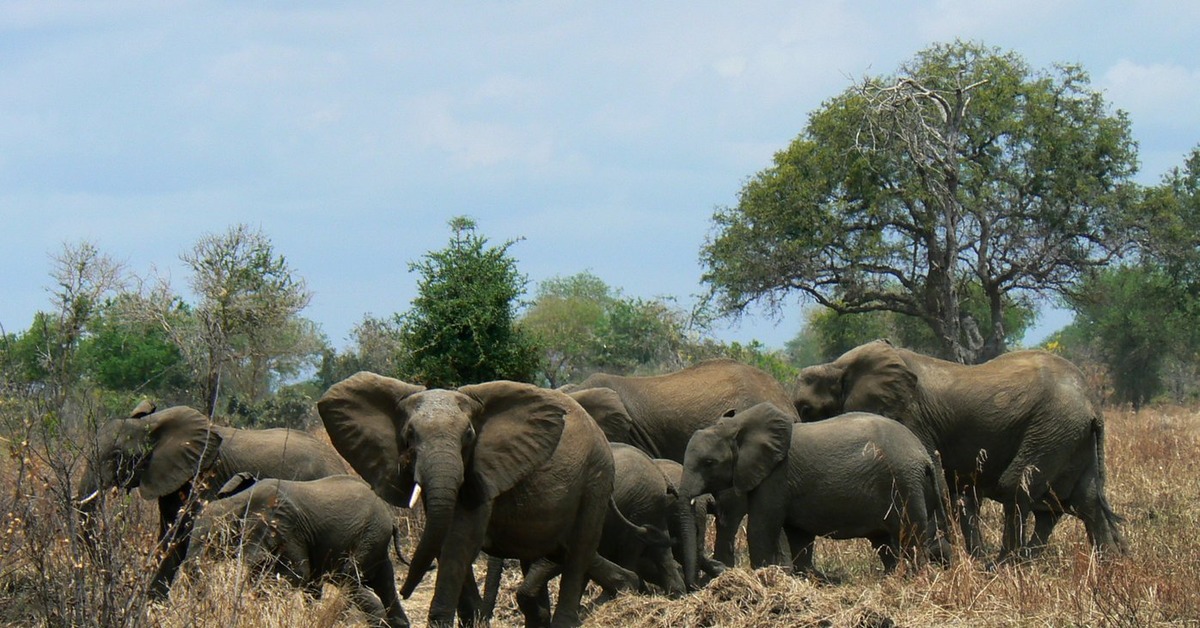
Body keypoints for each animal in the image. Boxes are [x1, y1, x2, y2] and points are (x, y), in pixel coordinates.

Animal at [73, 403, 348, 600]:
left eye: (117, 456)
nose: (117, 581)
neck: (151, 423)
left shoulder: (206, 475)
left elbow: (185, 536)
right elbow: (169, 539)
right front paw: (153, 606)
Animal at [184, 477, 410, 628]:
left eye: (211, 540)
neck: (238, 502)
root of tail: (391, 519)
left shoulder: (287, 530)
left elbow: (297, 575)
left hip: (368, 536)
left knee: (348, 581)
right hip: (375, 542)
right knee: (384, 583)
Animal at [319, 374, 638, 628]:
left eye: (469, 435)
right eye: (409, 435)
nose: (406, 590)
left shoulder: (483, 468)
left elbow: (460, 540)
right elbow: (446, 541)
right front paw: (471, 620)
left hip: (596, 478)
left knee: (578, 551)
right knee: (550, 551)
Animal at [681, 405, 950, 578]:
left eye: (708, 463)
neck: (739, 424)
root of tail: (924, 457)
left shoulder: (776, 477)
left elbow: (761, 528)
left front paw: (765, 578)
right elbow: (798, 535)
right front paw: (807, 578)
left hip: (905, 483)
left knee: (910, 537)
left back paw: (912, 578)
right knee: (884, 542)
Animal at [796, 341, 1123, 561]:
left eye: (806, 409)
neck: (837, 366)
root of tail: (1091, 402)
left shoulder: (911, 417)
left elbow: (939, 483)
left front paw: (947, 557)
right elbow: (958, 495)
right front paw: (965, 557)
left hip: (1054, 426)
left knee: (1017, 488)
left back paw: (1005, 565)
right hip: (1071, 437)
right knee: (1081, 501)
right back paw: (1107, 565)